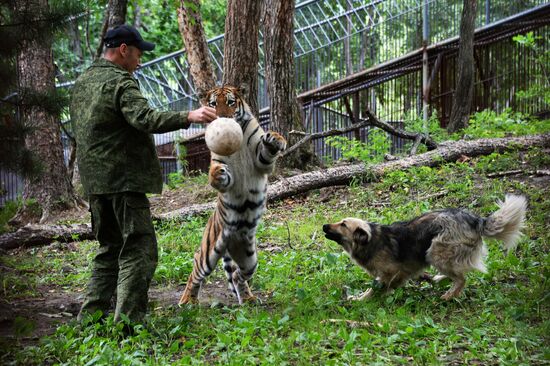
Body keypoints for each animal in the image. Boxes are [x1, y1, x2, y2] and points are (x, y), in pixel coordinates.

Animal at [179, 86, 286, 306]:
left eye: (229, 102)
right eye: (213, 104)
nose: (221, 117)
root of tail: (230, 240)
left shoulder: (261, 162)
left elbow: (266, 153)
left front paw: (276, 139)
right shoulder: (218, 159)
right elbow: (216, 172)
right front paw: (217, 175)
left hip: (248, 256)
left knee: (238, 275)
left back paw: (248, 298)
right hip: (209, 251)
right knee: (196, 269)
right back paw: (187, 302)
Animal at [324, 196, 532, 298]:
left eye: (343, 224)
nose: (324, 226)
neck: (372, 241)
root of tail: (474, 219)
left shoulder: (392, 272)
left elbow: (376, 288)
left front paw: (362, 299)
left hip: (436, 252)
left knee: (461, 279)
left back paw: (448, 296)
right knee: (457, 273)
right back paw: (437, 279)